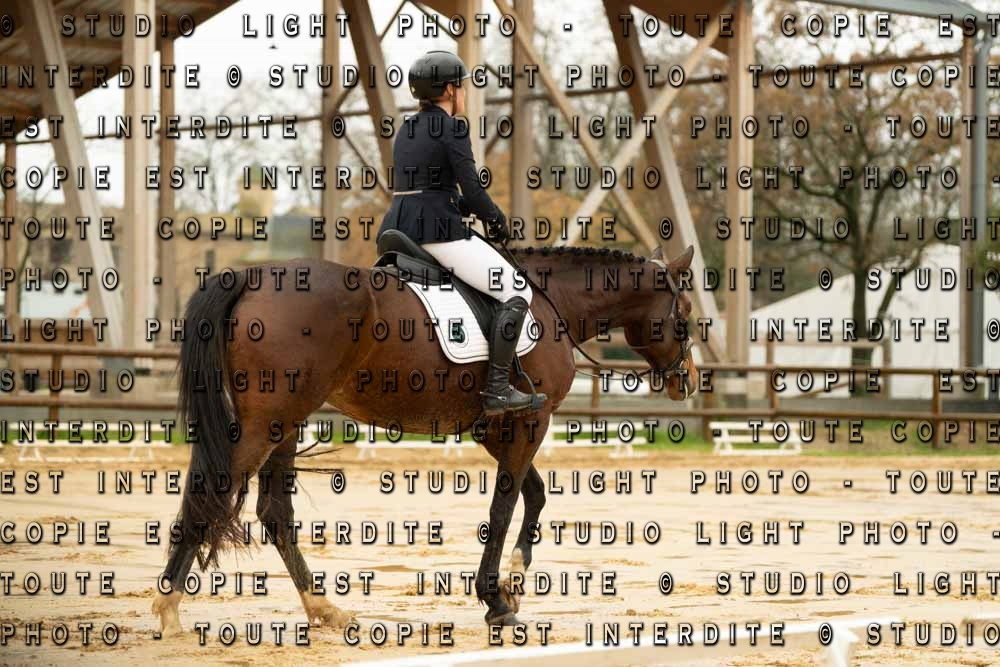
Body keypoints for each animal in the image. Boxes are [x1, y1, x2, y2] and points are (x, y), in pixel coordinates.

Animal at [152, 242, 698, 635]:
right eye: (686, 313)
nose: (688, 381)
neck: (552, 305)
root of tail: (252, 275)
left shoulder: (496, 427)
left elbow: (535, 495)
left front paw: (516, 580)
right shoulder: (530, 421)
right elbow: (504, 507)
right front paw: (497, 600)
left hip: (285, 422)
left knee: (273, 512)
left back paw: (323, 608)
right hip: (272, 419)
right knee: (213, 494)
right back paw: (169, 606)